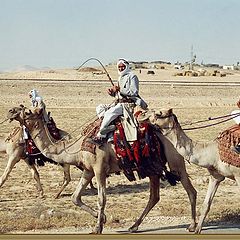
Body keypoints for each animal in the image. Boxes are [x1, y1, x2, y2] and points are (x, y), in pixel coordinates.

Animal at [7, 105, 198, 234]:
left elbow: (101, 199)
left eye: (27, 111)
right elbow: (75, 198)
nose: (10, 111)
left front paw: (98, 227)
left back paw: (192, 225)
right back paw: (133, 226)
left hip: (175, 160)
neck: (76, 147)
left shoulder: (99, 169)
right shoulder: (88, 170)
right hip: (152, 167)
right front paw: (102, 218)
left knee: (190, 190)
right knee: (154, 196)